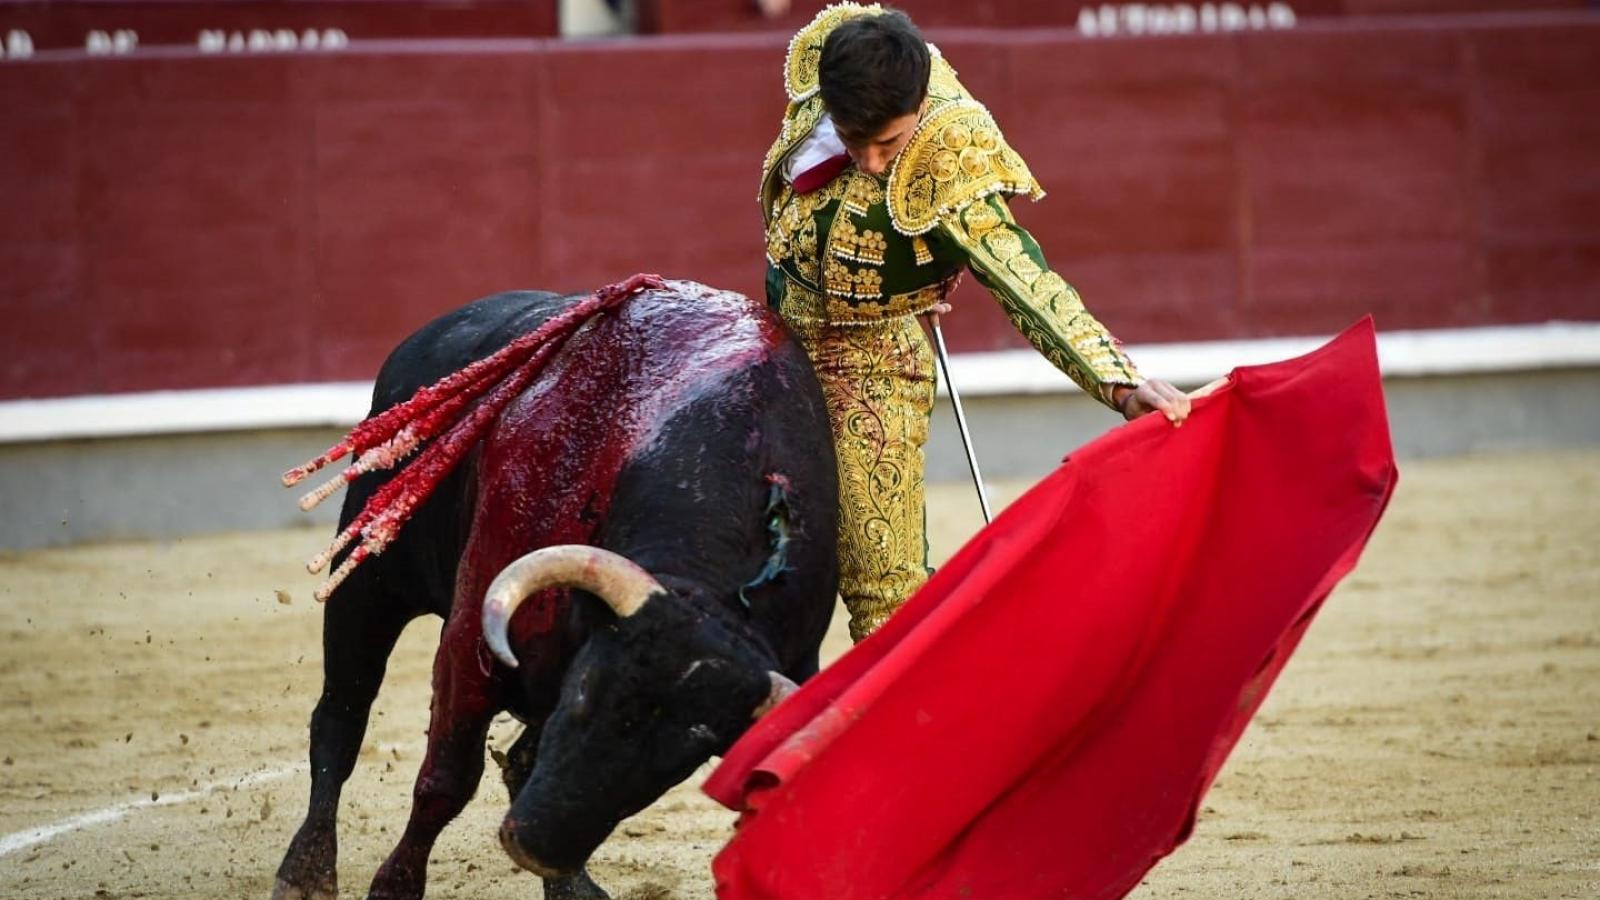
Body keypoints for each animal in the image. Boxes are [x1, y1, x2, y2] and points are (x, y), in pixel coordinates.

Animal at [276, 281, 844, 896]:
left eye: (684, 759)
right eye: (583, 691)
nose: (535, 847)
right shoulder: (470, 638)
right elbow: (446, 781)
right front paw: (394, 886)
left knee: (516, 759)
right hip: (371, 584)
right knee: (340, 716)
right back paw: (305, 870)